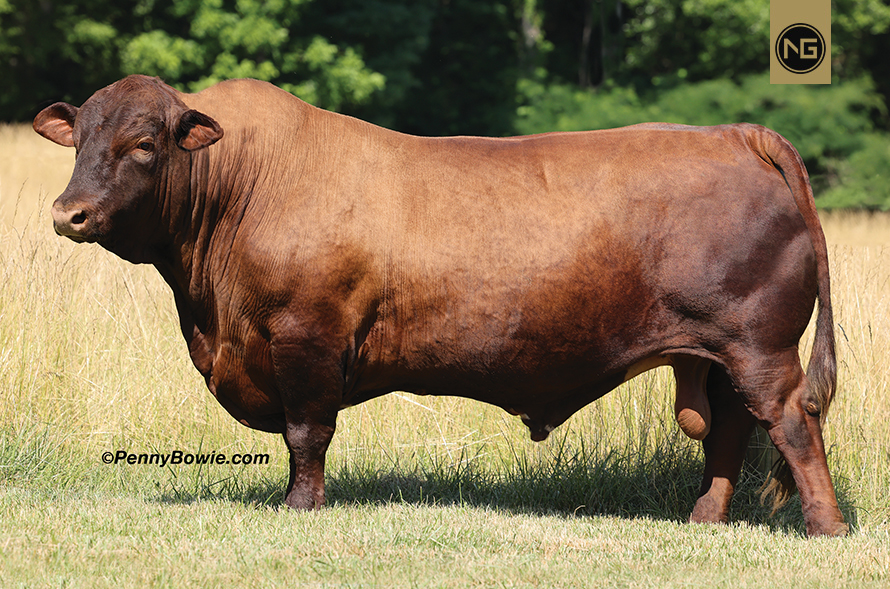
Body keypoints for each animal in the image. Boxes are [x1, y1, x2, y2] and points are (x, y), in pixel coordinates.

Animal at [33, 75, 848, 537]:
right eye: (80, 140)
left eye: (143, 144)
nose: (68, 214)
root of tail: (738, 134)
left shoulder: (306, 336)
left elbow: (306, 433)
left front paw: (301, 506)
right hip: (715, 356)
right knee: (729, 433)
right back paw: (704, 520)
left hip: (760, 347)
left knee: (792, 424)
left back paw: (826, 527)